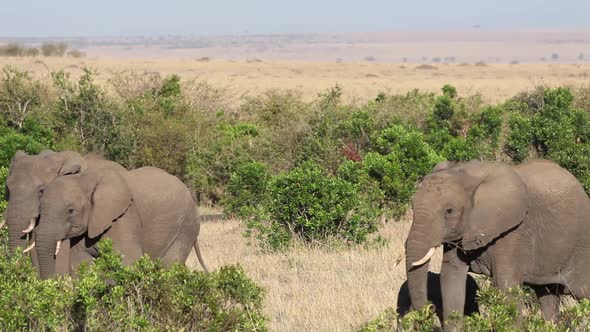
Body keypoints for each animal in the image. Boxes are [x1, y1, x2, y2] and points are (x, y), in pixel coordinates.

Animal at [34, 165, 209, 278]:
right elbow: (80, 265)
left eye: (71, 211)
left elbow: (127, 262)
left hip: (186, 227)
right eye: (40, 209)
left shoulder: (124, 217)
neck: (85, 179)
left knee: (170, 265)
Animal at [408, 159, 590, 326]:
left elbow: (505, 285)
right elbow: (451, 278)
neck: (466, 173)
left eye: (449, 211)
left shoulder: (512, 231)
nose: (430, 307)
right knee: (547, 296)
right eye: (412, 206)